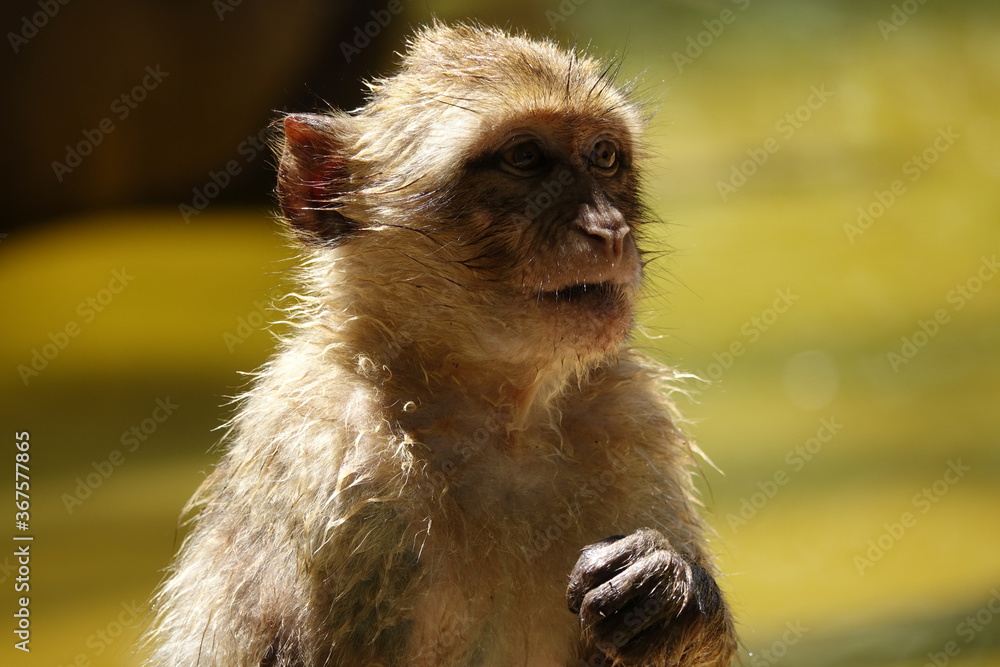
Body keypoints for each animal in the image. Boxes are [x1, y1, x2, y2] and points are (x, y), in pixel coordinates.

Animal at [144, 22, 738, 667]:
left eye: (604, 156)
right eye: (525, 158)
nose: (608, 229)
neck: (496, 417)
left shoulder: (630, 423)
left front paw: (669, 592)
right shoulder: (325, 461)